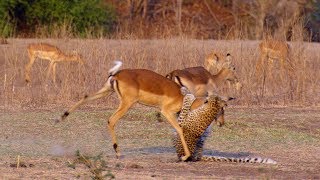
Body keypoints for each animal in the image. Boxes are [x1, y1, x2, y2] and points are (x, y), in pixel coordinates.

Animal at [56, 61, 206, 161]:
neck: (182, 97)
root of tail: (116, 75)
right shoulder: (166, 112)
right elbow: (180, 129)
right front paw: (186, 157)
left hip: (106, 91)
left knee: (85, 97)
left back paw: (61, 117)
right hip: (126, 104)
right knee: (111, 120)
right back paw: (118, 152)